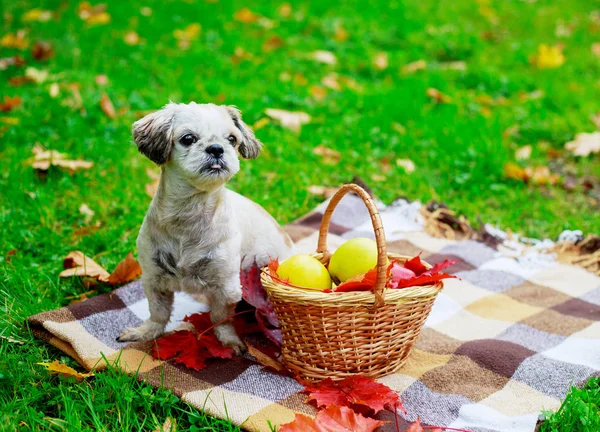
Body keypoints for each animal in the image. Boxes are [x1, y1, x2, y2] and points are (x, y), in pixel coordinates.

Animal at [117, 103, 292, 352]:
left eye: (232, 139)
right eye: (188, 138)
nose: (217, 148)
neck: (189, 213)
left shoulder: (226, 286)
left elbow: (221, 318)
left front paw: (228, 340)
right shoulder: (154, 278)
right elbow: (158, 313)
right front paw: (146, 332)